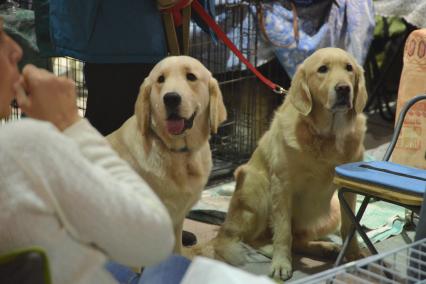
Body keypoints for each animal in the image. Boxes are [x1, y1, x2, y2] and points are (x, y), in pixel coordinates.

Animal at [215, 47, 368, 280]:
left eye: (349, 68)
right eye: (322, 69)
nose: (343, 89)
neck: (327, 136)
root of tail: (226, 226)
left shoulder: (348, 188)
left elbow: (350, 225)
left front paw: (353, 254)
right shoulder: (282, 185)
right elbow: (283, 232)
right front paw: (281, 263)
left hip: (330, 211)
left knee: (300, 240)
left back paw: (325, 248)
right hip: (256, 185)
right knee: (255, 238)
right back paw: (271, 249)